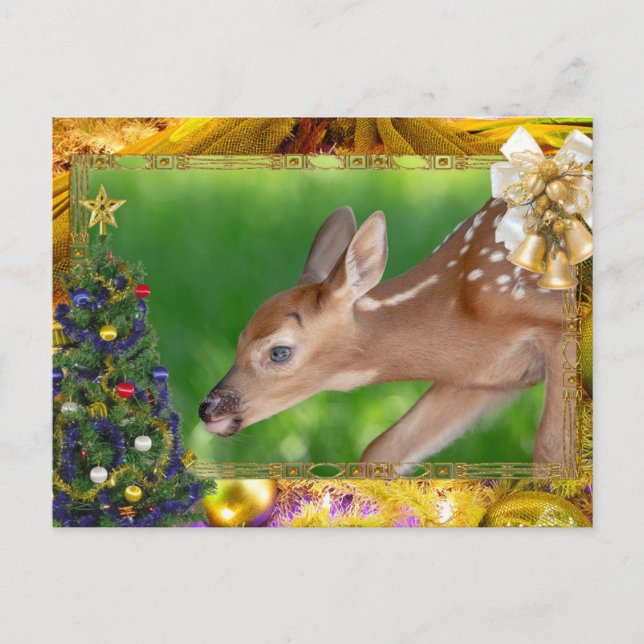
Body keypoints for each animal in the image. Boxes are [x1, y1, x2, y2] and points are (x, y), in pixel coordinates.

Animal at [198, 200, 565, 466]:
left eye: (279, 352)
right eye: (240, 339)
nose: (207, 409)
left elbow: (550, 451)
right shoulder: (492, 375)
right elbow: (384, 447)